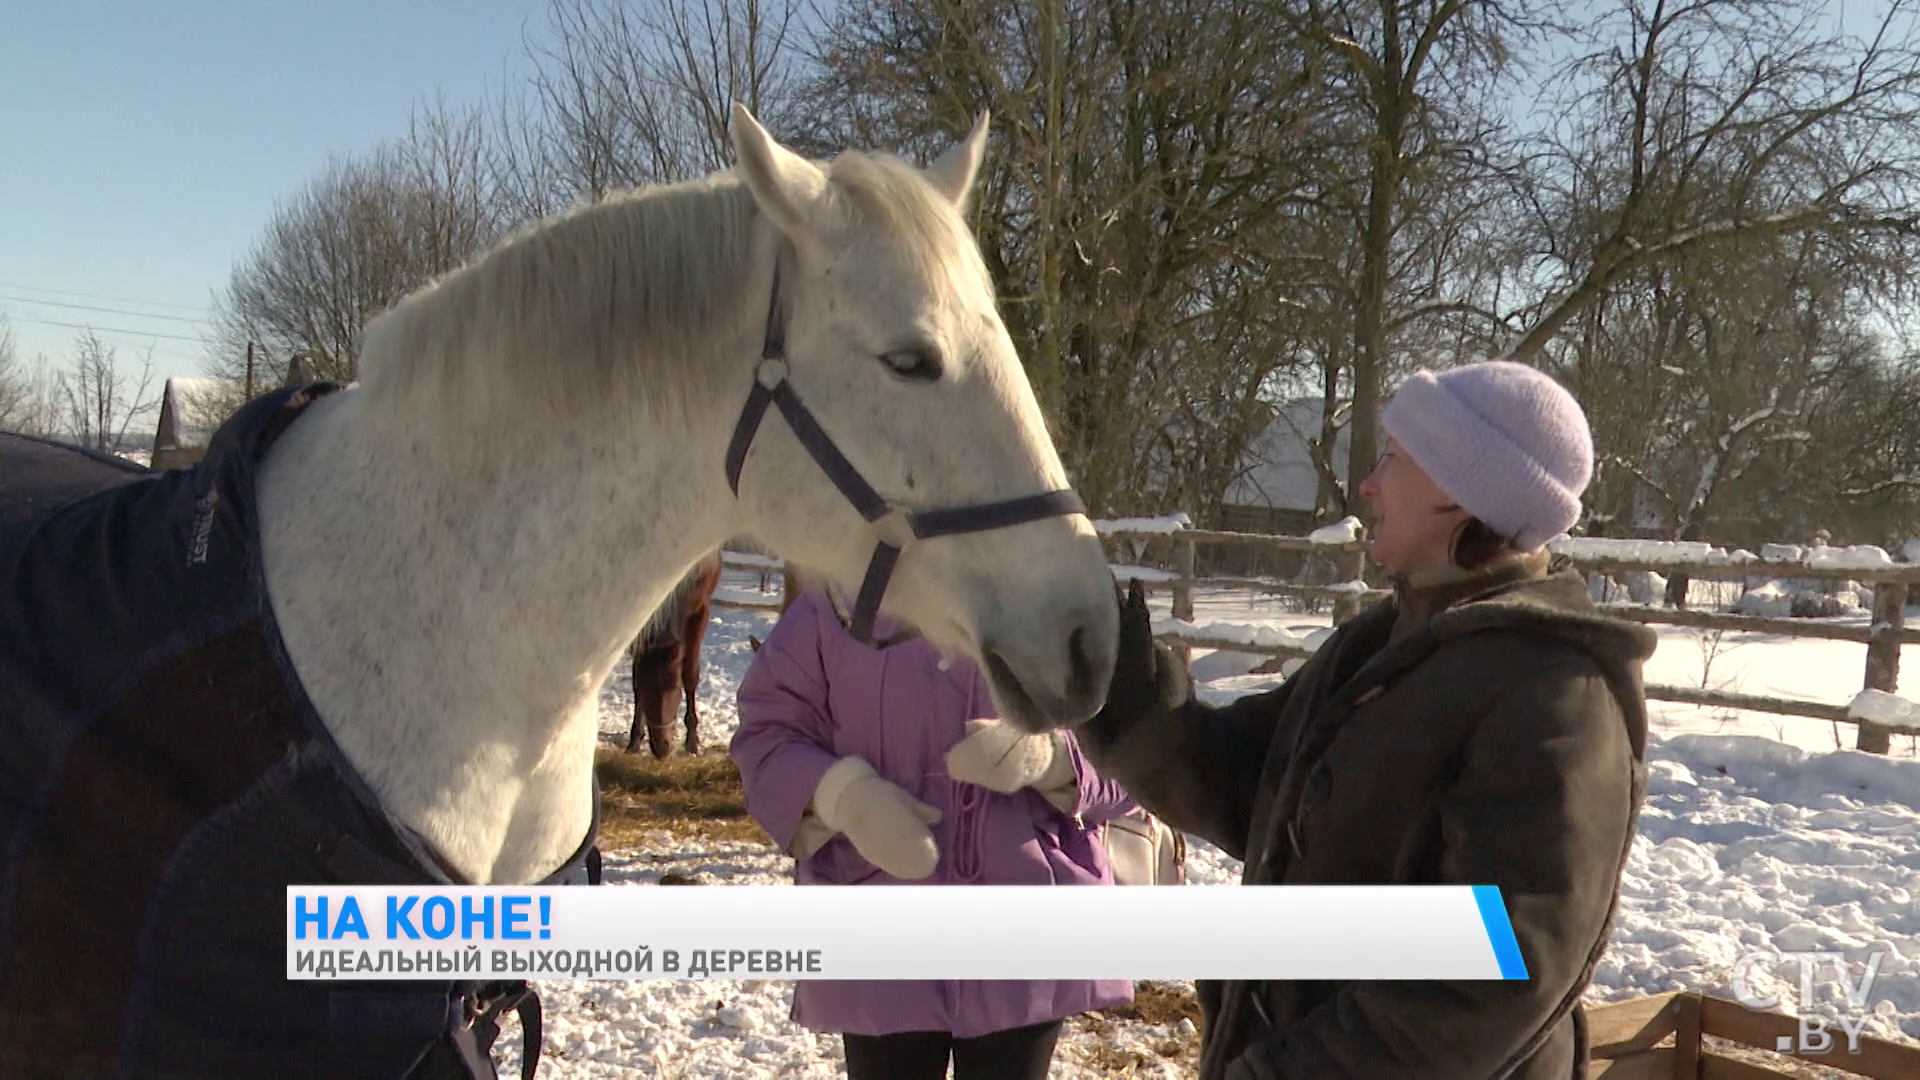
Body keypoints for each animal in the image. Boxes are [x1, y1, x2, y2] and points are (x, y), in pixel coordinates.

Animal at [625, 549, 721, 753]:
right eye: (644, 688)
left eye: (675, 688)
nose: (662, 748)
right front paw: (635, 739)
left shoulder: (699, 612)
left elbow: (690, 674)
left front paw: (692, 740)